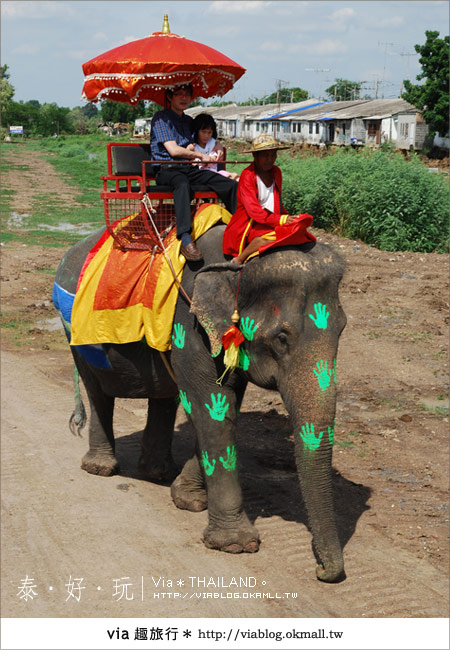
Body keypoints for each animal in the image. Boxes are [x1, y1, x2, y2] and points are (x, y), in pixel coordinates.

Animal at [53, 223, 348, 584]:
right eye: (282, 338)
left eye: (343, 329)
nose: (322, 570)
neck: (239, 257)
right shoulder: (189, 320)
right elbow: (211, 405)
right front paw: (235, 545)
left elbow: (221, 403)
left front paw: (188, 500)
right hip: (75, 334)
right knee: (98, 392)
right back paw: (101, 468)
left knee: (163, 395)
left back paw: (157, 472)